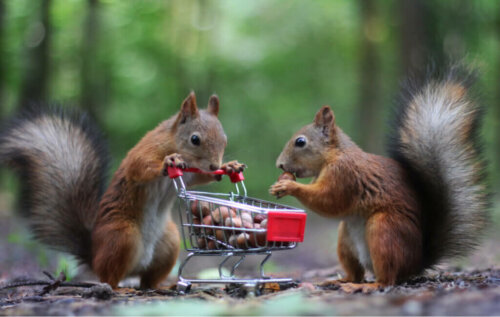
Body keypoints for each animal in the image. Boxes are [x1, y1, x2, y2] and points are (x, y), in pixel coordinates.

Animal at [0, 92, 246, 288]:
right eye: (195, 139)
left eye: (225, 139)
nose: (215, 165)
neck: (174, 143)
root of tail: (94, 254)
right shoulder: (144, 151)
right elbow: (140, 167)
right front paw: (169, 161)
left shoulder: (192, 174)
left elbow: (200, 177)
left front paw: (229, 167)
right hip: (121, 236)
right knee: (109, 277)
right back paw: (117, 289)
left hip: (169, 242)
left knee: (147, 281)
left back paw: (161, 286)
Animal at [270, 67, 488, 292]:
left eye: (300, 142)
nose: (280, 165)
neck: (333, 156)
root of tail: (415, 264)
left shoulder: (345, 174)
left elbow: (330, 200)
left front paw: (289, 185)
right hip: (345, 239)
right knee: (356, 273)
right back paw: (341, 280)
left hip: (385, 231)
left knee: (388, 278)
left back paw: (368, 286)